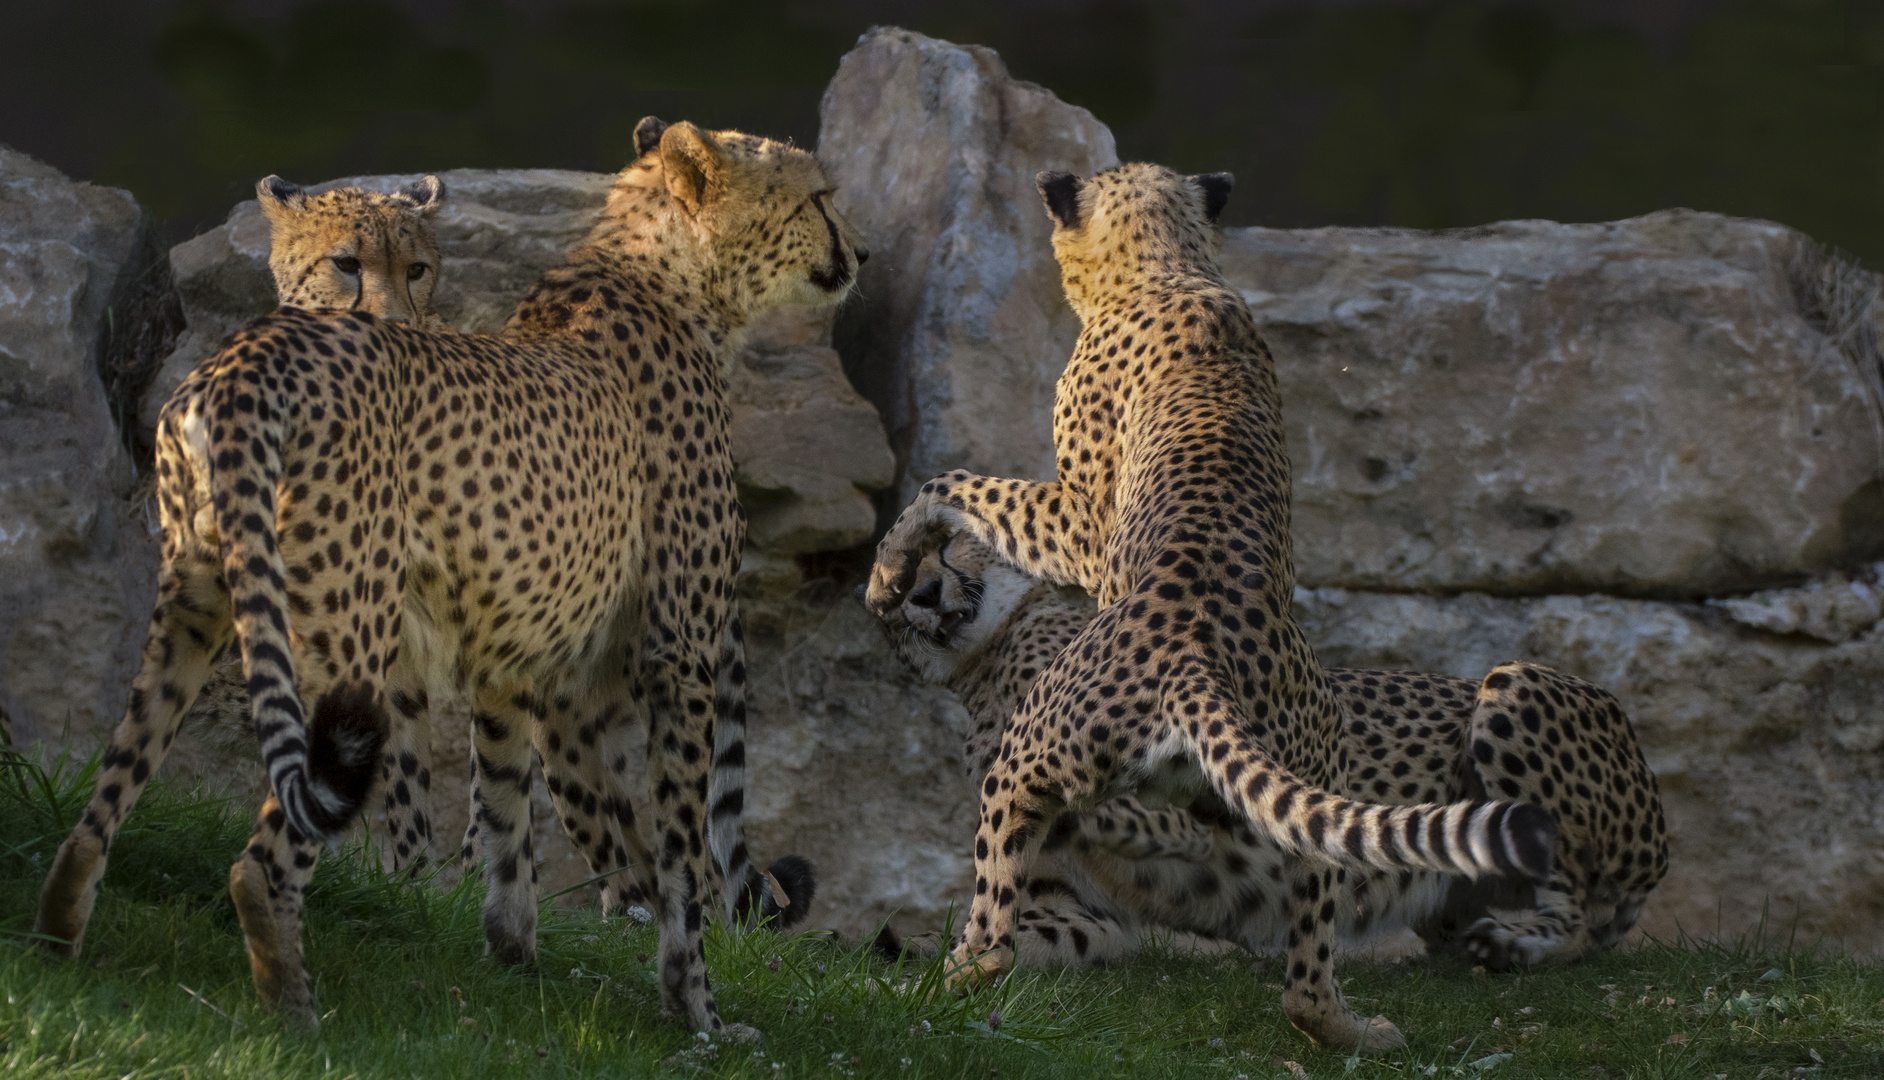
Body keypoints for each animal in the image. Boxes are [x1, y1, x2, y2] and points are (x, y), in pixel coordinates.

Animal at [38, 120, 862, 1032]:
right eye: (819, 196)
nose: (858, 252)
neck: (665, 274)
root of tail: (249, 355)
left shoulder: (520, 659)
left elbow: (507, 817)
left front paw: (514, 965)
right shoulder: (675, 656)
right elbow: (680, 855)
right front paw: (699, 1014)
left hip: (196, 601)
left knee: (106, 799)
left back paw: (58, 950)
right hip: (343, 641)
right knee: (266, 856)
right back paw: (296, 1017)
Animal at [874, 531, 1672, 980]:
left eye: (941, 548)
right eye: (892, 587)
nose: (922, 593)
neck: (988, 662)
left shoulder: (1178, 791)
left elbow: (1155, 815)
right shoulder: (1083, 911)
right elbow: (1010, 930)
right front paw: (912, 960)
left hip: (1513, 685)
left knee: (1581, 917)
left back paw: (1517, 945)